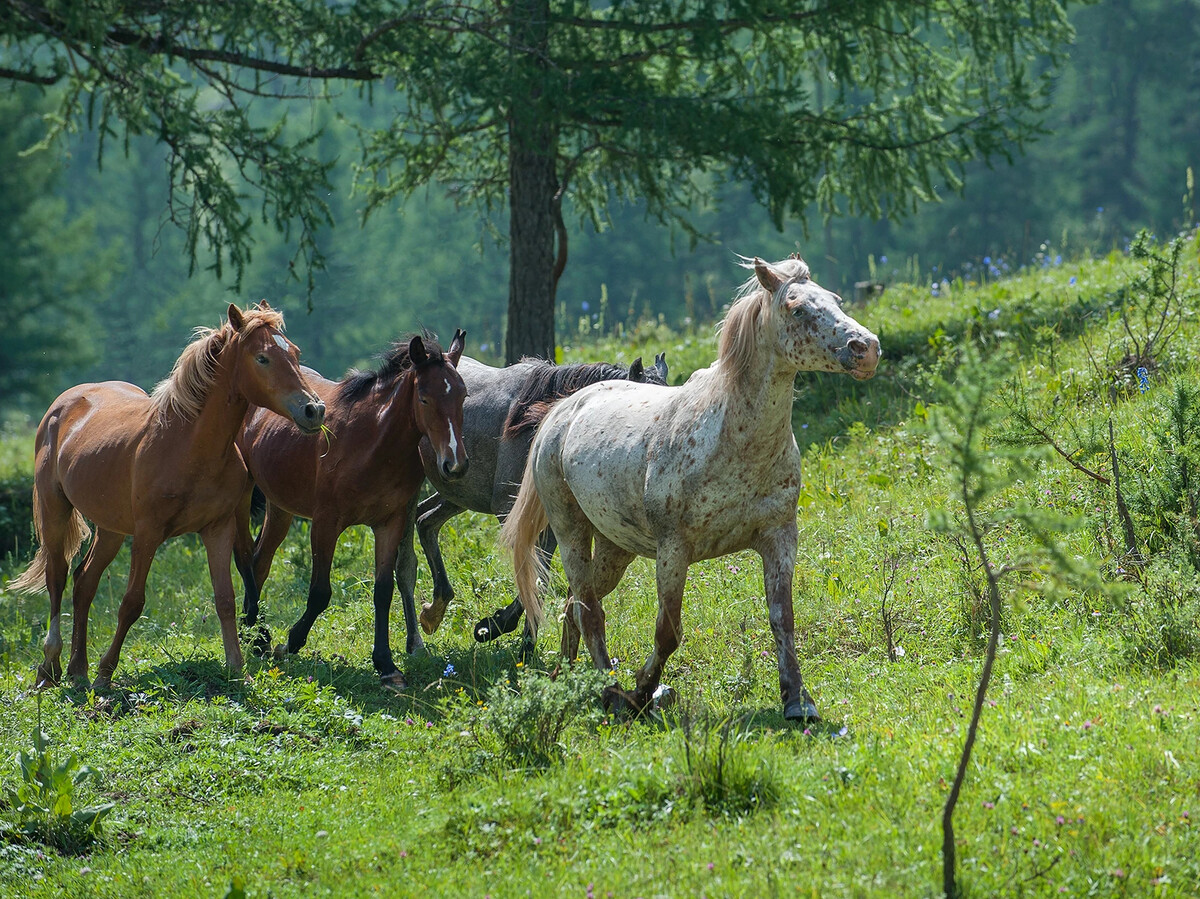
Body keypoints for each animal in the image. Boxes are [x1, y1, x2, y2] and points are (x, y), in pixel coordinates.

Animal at [9, 301, 326, 686]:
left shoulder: (218, 529)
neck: (188, 445)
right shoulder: (148, 533)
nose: (314, 409)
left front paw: (236, 668)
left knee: (84, 582)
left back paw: (78, 669)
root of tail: (64, 403)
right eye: (263, 357)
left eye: (294, 353)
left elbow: (226, 598)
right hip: (55, 510)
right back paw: (52, 666)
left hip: (111, 528)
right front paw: (106, 673)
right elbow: (132, 602)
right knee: (57, 578)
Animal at [237, 328, 468, 686]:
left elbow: (383, 590)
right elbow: (320, 592)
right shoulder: (325, 523)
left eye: (463, 396)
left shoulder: (390, 523)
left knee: (260, 561)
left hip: (280, 506)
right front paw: (291, 642)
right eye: (425, 399)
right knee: (247, 559)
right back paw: (256, 633)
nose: (454, 464)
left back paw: (256, 635)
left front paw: (386, 664)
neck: (371, 443)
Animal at [400, 350, 672, 652]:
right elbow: (532, 573)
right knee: (405, 560)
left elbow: (541, 579)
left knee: (426, 521)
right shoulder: (513, 514)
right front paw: (496, 629)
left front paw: (516, 637)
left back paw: (433, 612)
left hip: (457, 496)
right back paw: (416, 640)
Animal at [499, 255, 883, 720]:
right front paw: (640, 694)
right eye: (796, 308)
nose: (867, 348)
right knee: (590, 612)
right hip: (571, 533)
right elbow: (668, 632)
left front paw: (797, 701)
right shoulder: (674, 550)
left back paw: (569, 680)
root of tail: (562, 411)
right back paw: (610, 689)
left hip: (615, 548)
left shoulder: (779, 538)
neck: (734, 439)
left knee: (575, 606)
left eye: (835, 299)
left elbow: (782, 618)